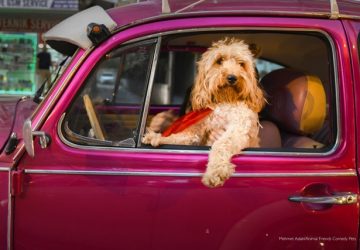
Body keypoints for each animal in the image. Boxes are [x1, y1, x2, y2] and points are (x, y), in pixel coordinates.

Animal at [143, 38, 264, 188]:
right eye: (219, 60)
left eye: (241, 64)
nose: (232, 77)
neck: (224, 100)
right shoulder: (196, 131)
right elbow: (180, 136)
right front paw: (157, 137)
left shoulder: (237, 130)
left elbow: (221, 145)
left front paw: (216, 172)